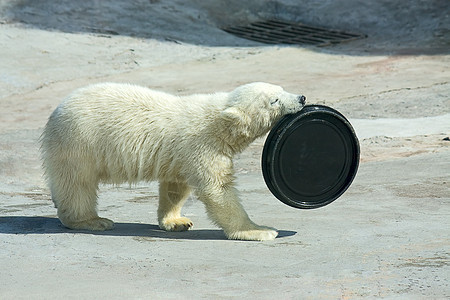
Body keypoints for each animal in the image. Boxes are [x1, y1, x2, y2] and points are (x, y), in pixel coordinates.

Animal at [41, 82, 306, 241]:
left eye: (281, 88)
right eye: (273, 100)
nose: (302, 98)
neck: (217, 120)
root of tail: (55, 113)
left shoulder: (179, 154)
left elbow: (175, 186)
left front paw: (177, 221)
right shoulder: (202, 145)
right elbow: (218, 190)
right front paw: (260, 231)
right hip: (80, 144)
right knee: (77, 184)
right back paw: (92, 221)